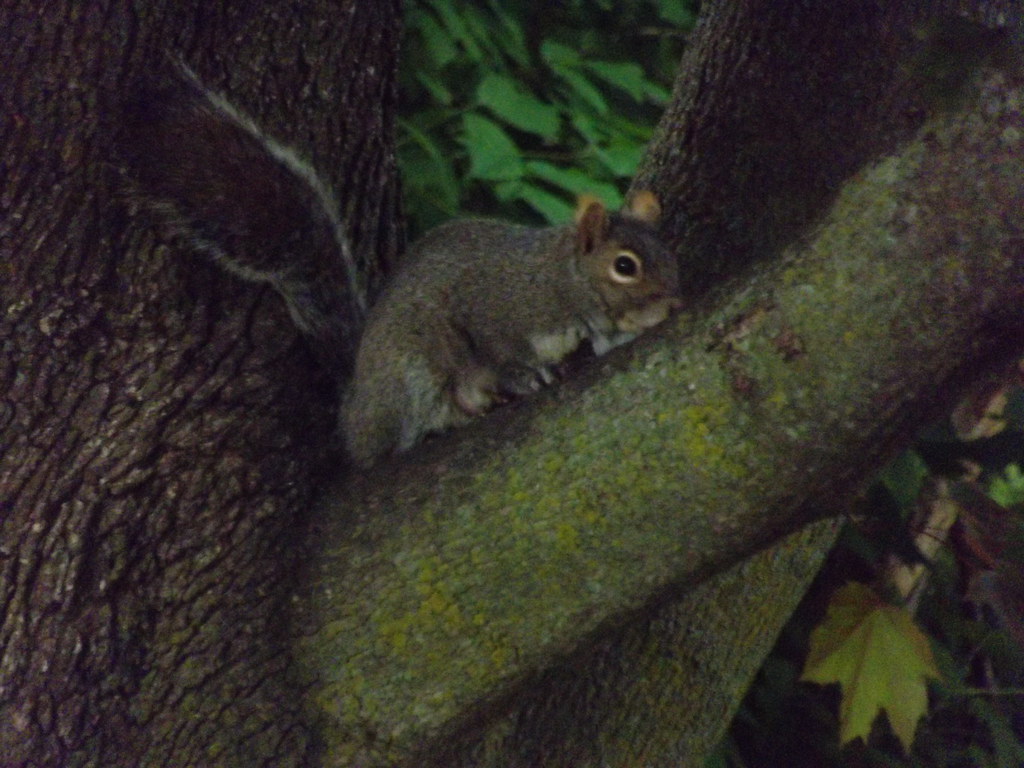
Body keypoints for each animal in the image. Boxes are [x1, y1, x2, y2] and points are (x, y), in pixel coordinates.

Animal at [120, 62, 682, 467]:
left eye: (669, 254)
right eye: (625, 266)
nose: (671, 299)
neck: (561, 281)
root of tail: (354, 405)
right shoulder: (499, 307)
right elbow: (500, 351)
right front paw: (525, 375)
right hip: (408, 376)